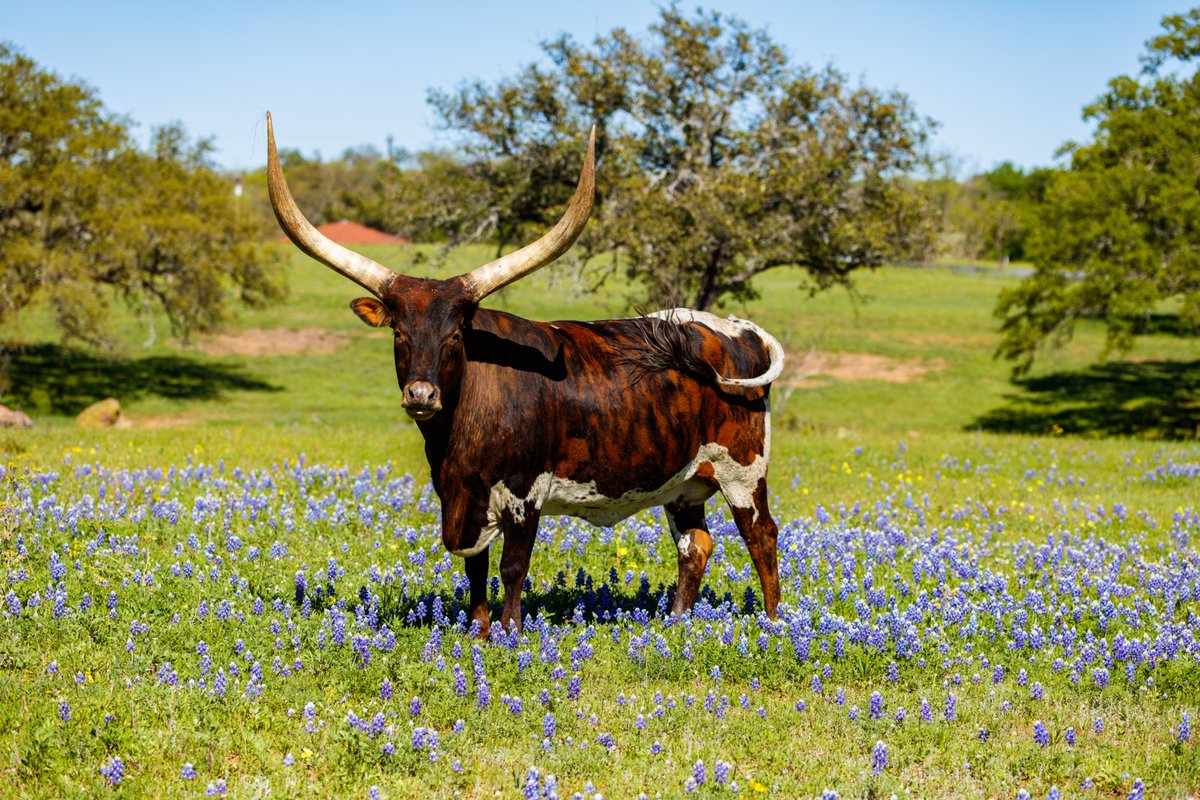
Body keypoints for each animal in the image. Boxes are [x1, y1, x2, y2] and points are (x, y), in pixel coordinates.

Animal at [266, 113, 784, 637]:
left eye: (456, 334)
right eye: (399, 334)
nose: (421, 394)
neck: (460, 432)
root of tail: (739, 329)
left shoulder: (524, 491)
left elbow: (512, 566)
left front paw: (510, 633)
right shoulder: (459, 496)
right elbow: (475, 568)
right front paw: (479, 631)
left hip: (743, 472)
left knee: (761, 536)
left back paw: (774, 622)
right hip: (684, 483)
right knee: (694, 546)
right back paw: (676, 624)